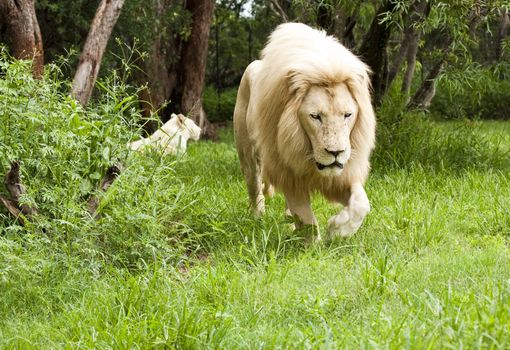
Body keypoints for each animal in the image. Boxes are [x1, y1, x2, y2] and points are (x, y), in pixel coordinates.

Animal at [234, 23, 374, 239]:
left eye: (347, 115)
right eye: (315, 116)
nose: (336, 153)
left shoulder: (341, 176)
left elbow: (361, 204)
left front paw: (337, 230)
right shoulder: (288, 171)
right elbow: (307, 220)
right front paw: (315, 243)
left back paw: (288, 222)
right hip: (248, 155)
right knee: (255, 187)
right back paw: (258, 219)